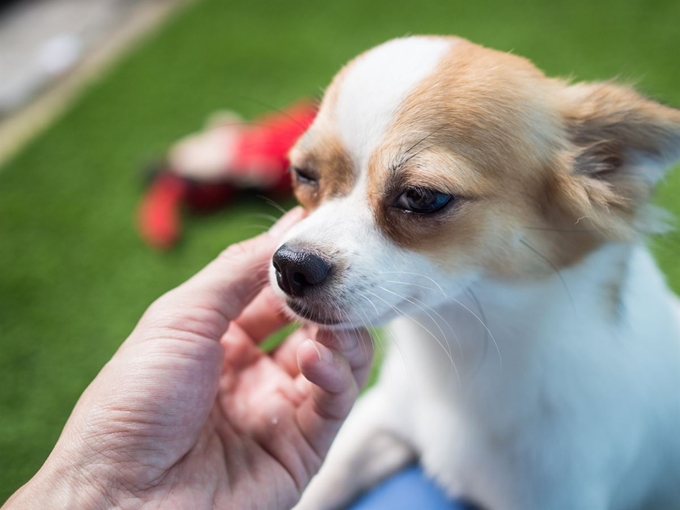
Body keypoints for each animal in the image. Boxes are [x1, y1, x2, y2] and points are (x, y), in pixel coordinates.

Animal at [268, 36, 676, 510]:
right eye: (304, 174)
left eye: (422, 197)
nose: (291, 265)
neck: (466, 346)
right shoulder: (382, 418)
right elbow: (324, 480)